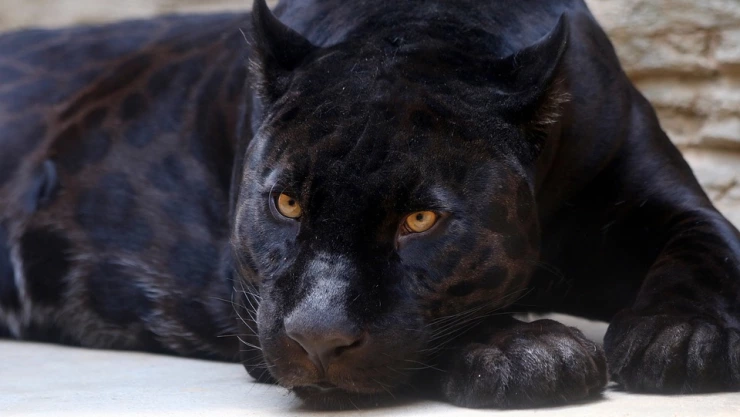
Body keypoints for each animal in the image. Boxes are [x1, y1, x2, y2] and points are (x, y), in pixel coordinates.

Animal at [1, 0, 739, 410]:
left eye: (421, 219)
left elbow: (709, 252)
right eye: (288, 203)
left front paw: (682, 336)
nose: (317, 338)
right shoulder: (253, 305)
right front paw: (528, 348)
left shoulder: (665, 199)